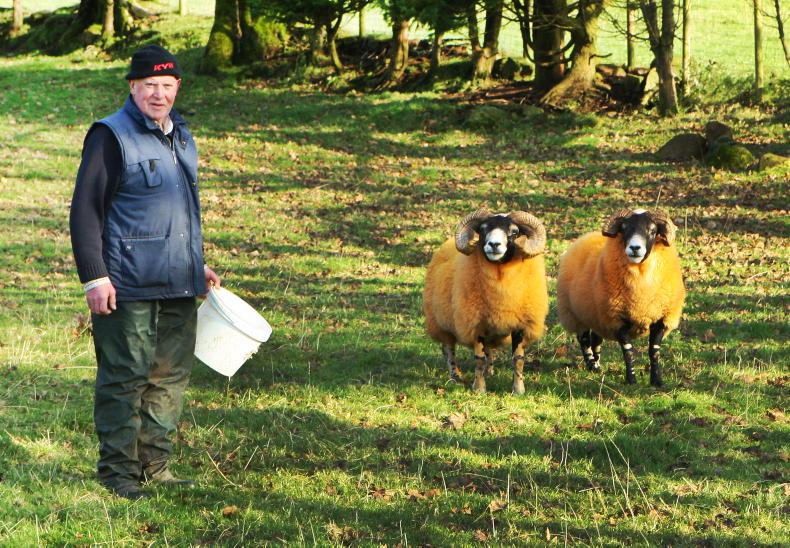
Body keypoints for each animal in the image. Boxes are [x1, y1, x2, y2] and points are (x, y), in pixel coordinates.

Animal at [422, 209, 549, 394]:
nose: (494, 244)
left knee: (488, 350)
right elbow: (479, 358)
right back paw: (455, 377)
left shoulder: (520, 324)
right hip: (441, 323)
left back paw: (489, 372)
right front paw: (479, 388)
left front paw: (518, 389)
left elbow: (518, 358)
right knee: (448, 350)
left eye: (514, 232)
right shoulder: (474, 323)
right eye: (482, 230)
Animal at [556, 208, 686, 387]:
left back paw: (598, 365)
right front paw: (631, 380)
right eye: (624, 229)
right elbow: (628, 351)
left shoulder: (662, 318)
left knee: (596, 340)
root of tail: (585, 237)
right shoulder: (617, 319)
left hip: (598, 316)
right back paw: (592, 365)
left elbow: (653, 351)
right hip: (576, 314)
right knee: (584, 340)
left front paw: (657, 381)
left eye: (653, 230)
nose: (635, 248)